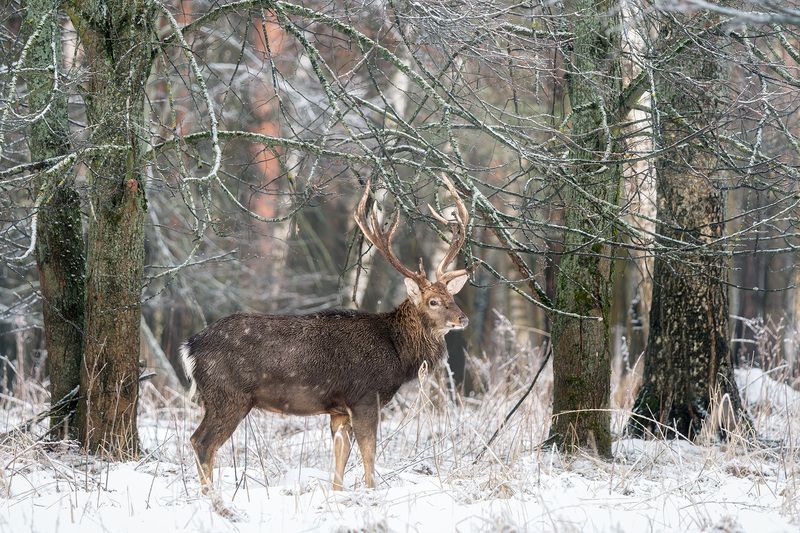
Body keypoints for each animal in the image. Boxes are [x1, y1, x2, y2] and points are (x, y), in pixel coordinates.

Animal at [181, 175, 471, 494]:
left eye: (452, 297)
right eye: (433, 301)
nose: (463, 318)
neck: (397, 352)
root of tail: (190, 347)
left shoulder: (339, 409)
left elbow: (340, 458)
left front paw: (338, 493)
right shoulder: (365, 397)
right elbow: (369, 454)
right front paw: (371, 491)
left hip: (217, 398)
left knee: (196, 439)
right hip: (228, 395)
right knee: (203, 442)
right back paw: (211, 497)